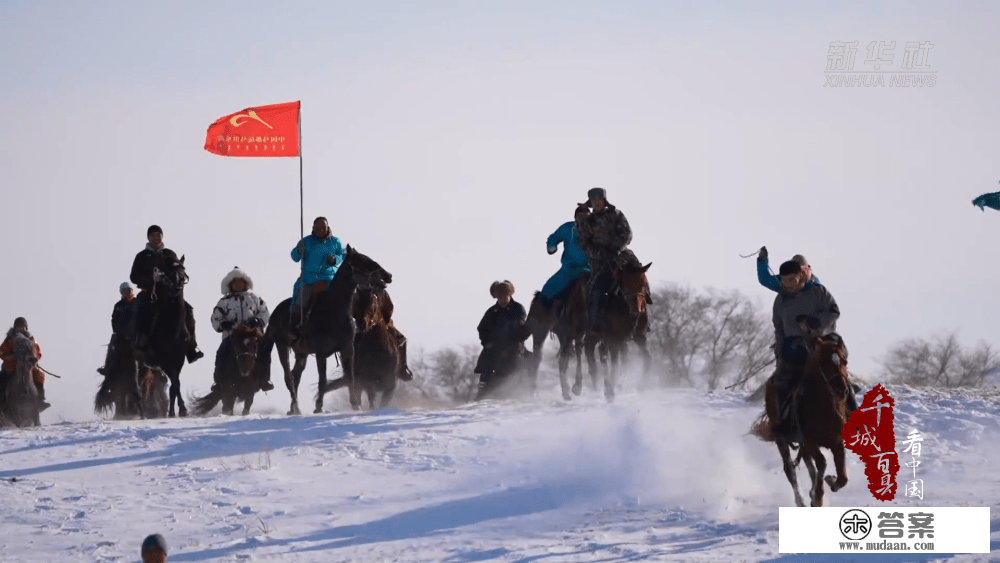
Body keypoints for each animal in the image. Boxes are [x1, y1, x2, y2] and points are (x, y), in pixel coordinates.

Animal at [135, 251, 191, 418]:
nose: (178, 284)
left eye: (182, 269)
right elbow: (174, 384)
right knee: (140, 384)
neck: (172, 329)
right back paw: (143, 411)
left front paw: (178, 410)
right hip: (142, 361)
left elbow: (175, 384)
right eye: (167, 271)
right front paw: (177, 410)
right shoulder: (163, 360)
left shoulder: (178, 359)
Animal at [262, 245, 390, 416]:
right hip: (282, 346)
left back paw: (293, 408)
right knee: (289, 377)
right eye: (364, 261)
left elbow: (349, 377)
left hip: (301, 353)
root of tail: (274, 314)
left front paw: (356, 405)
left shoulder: (347, 349)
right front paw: (318, 407)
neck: (333, 311)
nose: (388, 275)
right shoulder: (321, 353)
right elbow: (322, 380)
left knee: (296, 376)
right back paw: (296, 408)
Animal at [584, 262, 652, 404]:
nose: (637, 310)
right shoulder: (613, 338)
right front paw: (610, 391)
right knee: (592, 352)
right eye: (625, 283)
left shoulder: (640, 336)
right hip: (595, 335)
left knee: (613, 355)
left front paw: (641, 385)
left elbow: (647, 357)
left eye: (644, 283)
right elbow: (614, 363)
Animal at [756, 332, 852, 508]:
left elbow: (842, 477)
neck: (823, 408)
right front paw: (818, 497)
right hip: (781, 439)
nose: (841, 390)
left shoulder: (836, 441)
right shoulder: (809, 441)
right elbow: (821, 463)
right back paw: (801, 500)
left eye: (844, 361)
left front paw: (829, 482)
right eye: (824, 362)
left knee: (808, 464)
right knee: (790, 470)